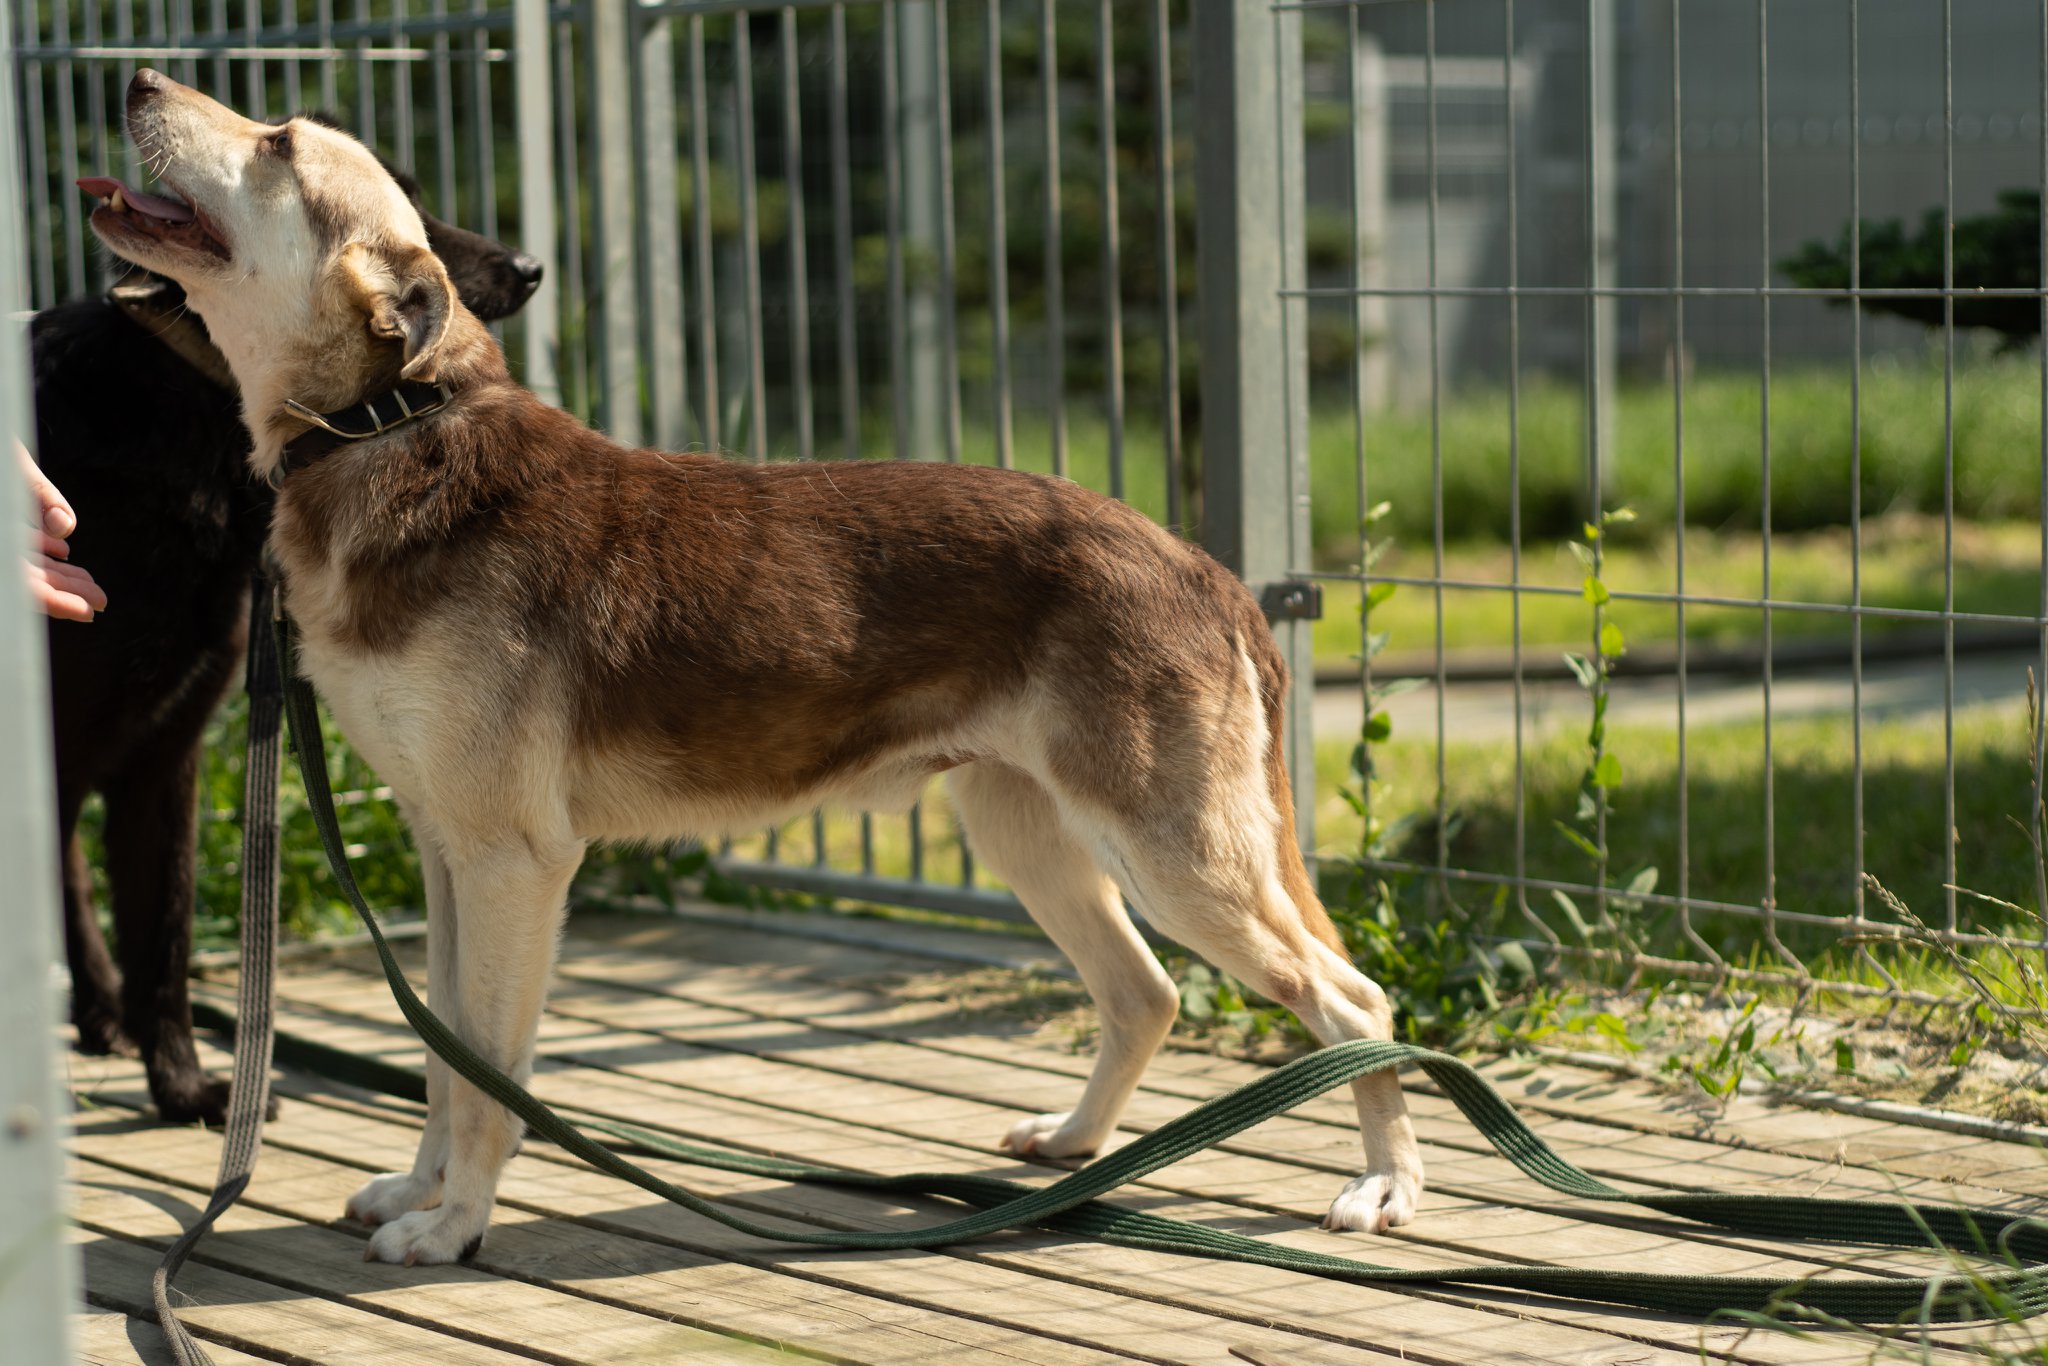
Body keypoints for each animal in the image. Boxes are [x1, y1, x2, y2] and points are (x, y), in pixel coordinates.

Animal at [91, 68, 1424, 1264]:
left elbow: (488, 1080)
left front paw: (454, 1224)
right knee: (1145, 991)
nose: (137, 79)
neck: (388, 430)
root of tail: (1199, 563)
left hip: (1176, 850)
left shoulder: (514, 861)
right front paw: (416, 1192)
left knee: (1354, 1004)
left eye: (276, 142)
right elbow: (441, 1052)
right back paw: (1071, 1150)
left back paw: (1383, 1188)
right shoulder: (442, 853)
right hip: (1026, 830)